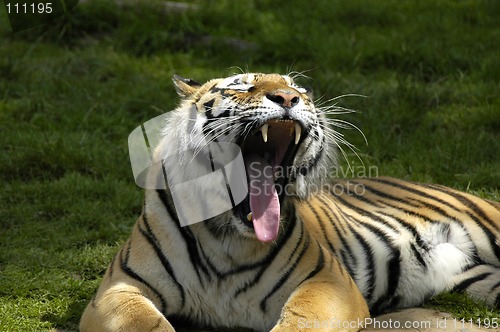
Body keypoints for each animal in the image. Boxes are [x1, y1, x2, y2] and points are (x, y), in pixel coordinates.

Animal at [80, 73, 498, 332]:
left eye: (298, 88)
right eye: (241, 86)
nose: (288, 98)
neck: (226, 238)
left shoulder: (328, 281)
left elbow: (302, 319)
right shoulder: (119, 288)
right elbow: (142, 322)